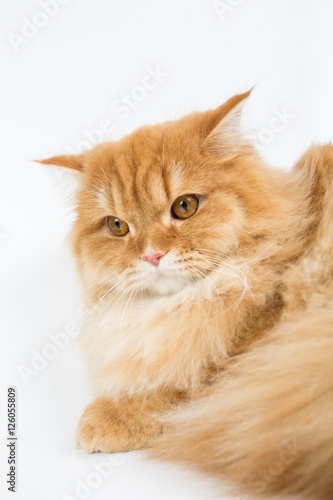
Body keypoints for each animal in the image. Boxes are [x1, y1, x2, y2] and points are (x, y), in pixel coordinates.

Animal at [39, 91, 332, 500]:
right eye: (117, 226)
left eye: (184, 207)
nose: (152, 255)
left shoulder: (256, 365)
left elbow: (177, 390)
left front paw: (108, 417)